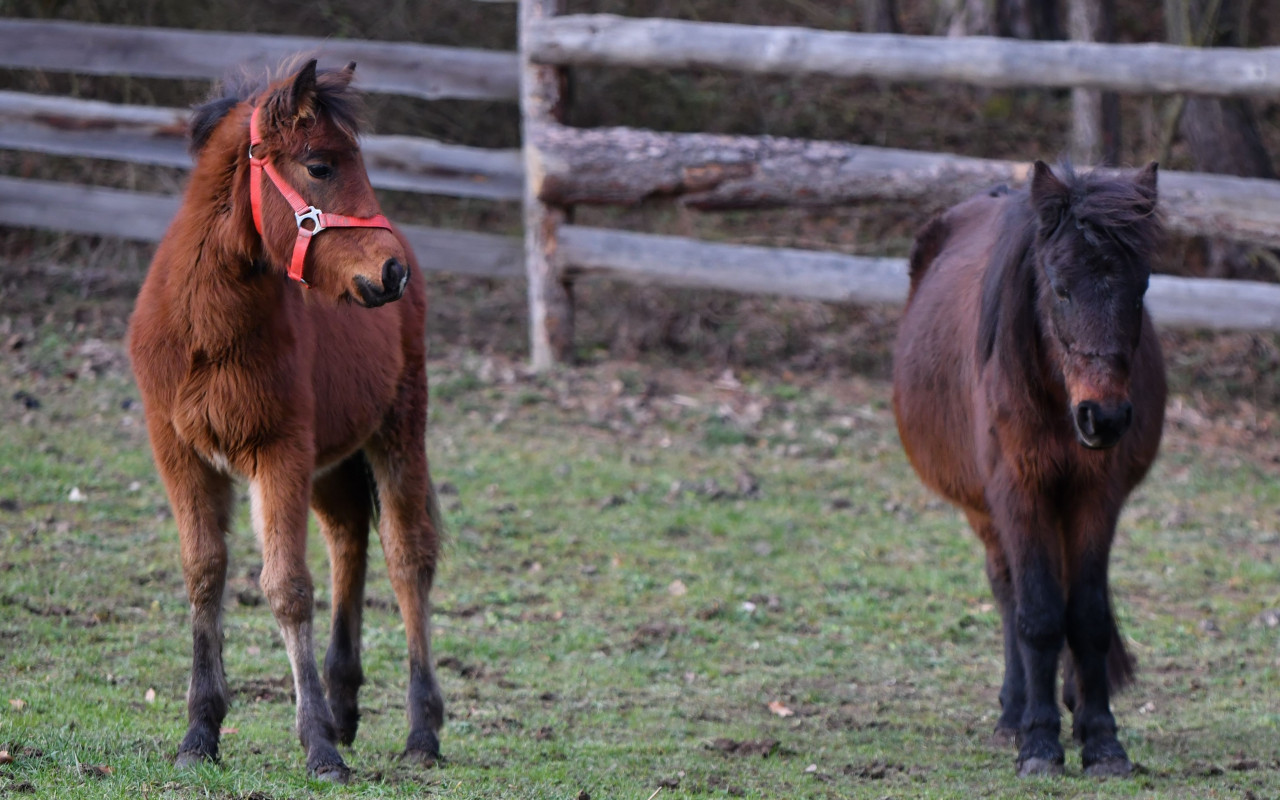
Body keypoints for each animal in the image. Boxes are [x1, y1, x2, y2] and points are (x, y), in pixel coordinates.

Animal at [127, 60, 442, 778]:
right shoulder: (181, 455)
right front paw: (199, 732)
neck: (206, 329)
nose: (391, 272)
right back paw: (345, 703)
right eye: (320, 165)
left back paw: (421, 731)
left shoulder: (278, 451)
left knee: (407, 556)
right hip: (330, 459)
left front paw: (318, 746)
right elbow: (205, 573)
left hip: (397, 431)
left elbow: (288, 587)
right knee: (349, 538)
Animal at [890, 160, 1172, 773]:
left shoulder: (1095, 494)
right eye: (1060, 288)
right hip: (983, 510)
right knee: (1008, 591)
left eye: (1141, 288)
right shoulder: (1018, 491)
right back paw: (1015, 712)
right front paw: (1039, 740)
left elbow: (1086, 615)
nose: (1103, 417)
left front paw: (1101, 739)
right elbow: (1038, 614)